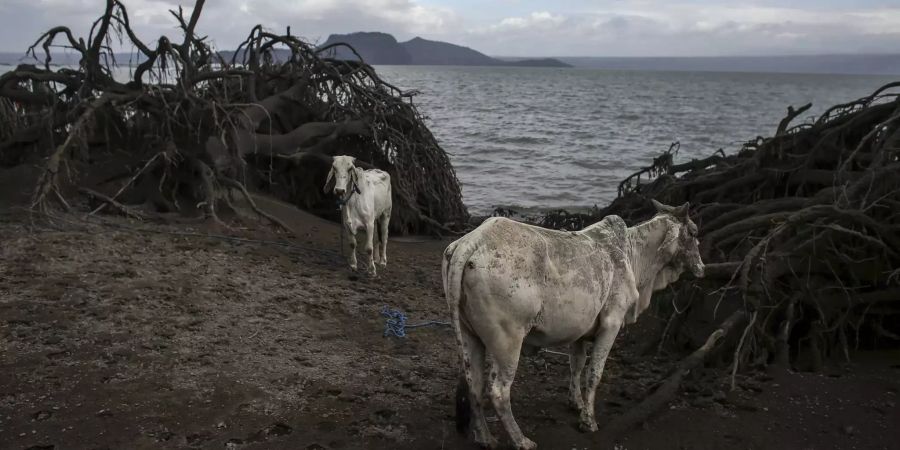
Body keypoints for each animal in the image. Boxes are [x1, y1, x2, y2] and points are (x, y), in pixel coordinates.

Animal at [442, 201, 704, 450]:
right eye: (693, 232)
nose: (702, 267)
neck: (634, 255)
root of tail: (470, 242)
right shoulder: (611, 323)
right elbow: (594, 373)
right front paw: (588, 421)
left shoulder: (580, 332)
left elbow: (576, 366)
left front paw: (575, 403)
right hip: (508, 341)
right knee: (498, 391)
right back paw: (521, 441)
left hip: (469, 335)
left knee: (474, 385)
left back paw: (485, 438)